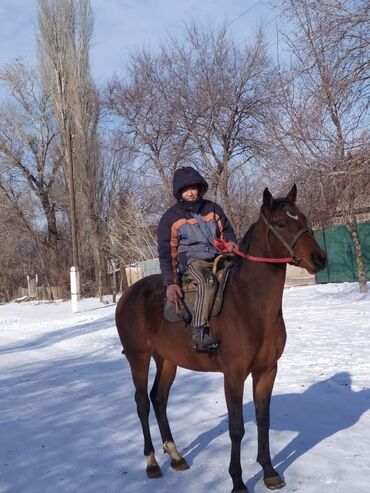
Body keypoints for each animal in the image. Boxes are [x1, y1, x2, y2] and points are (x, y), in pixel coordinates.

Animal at [115, 185, 326, 492]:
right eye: (280, 224)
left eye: (303, 217)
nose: (319, 258)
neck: (249, 304)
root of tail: (127, 294)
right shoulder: (234, 374)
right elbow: (236, 428)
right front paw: (238, 481)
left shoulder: (267, 370)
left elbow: (263, 420)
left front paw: (269, 471)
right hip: (138, 358)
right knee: (142, 403)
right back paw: (152, 463)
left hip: (167, 360)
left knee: (159, 399)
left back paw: (176, 456)